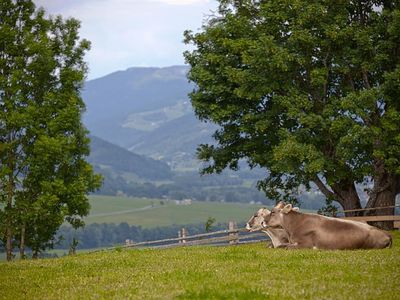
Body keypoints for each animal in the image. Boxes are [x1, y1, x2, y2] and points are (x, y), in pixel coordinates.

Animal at [260, 202, 392, 251]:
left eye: (273, 212)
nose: (262, 222)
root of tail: (386, 233)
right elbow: (281, 245)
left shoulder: (306, 244)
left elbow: (285, 247)